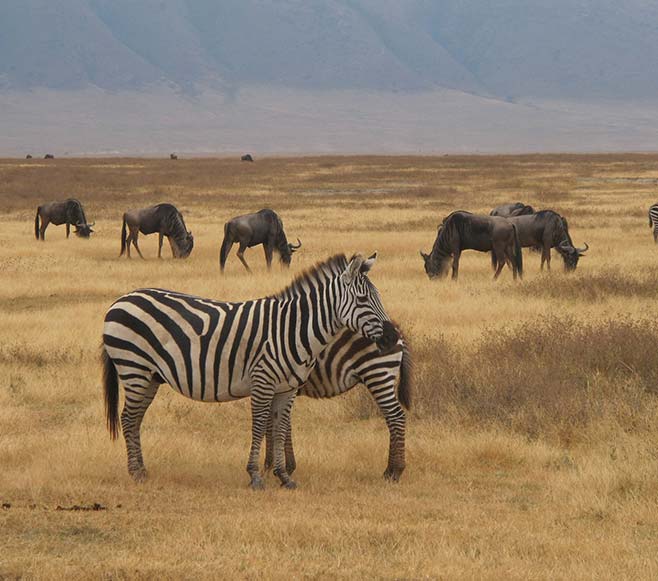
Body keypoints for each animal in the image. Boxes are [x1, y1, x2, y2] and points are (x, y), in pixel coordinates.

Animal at [101, 251, 390, 488]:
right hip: (133, 367)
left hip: (149, 376)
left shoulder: (288, 388)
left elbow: (280, 428)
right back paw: (135, 473)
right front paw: (255, 475)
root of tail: (121, 300)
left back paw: (142, 470)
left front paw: (284, 477)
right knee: (128, 418)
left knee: (135, 419)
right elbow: (260, 425)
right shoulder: (262, 380)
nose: (390, 338)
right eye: (363, 299)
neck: (294, 329)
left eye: (378, 297)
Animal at [262, 322, 410, 480]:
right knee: (390, 418)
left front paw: (270, 467)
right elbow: (282, 425)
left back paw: (396, 471)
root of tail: (396, 328)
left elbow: (271, 425)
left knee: (396, 417)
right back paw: (389, 471)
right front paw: (286, 466)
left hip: (378, 373)